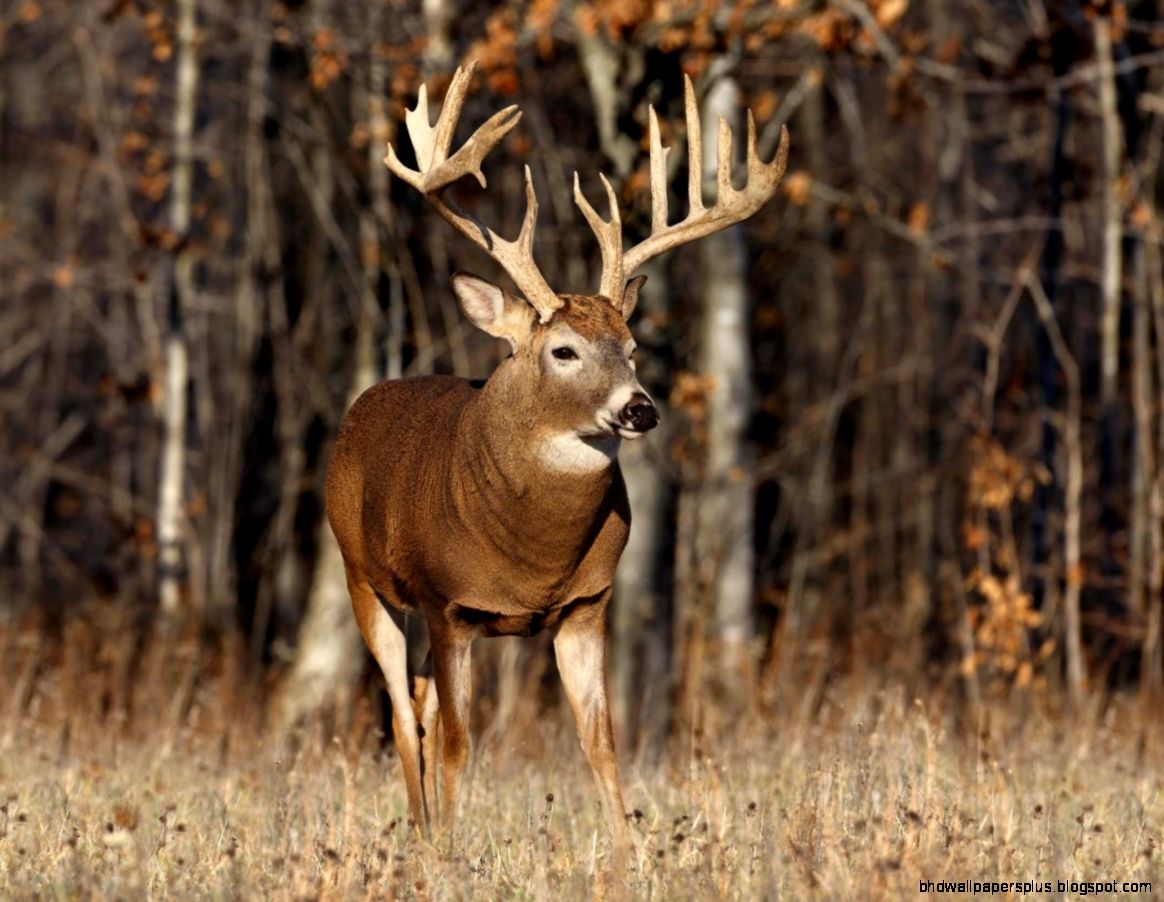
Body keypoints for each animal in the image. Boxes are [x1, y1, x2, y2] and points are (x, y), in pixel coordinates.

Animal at [325, 61, 789, 857]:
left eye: (630, 347)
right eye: (563, 351)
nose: (640, 409)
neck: (533, 556)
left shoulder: (586, 605)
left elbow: (601, 741)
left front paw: (630, 856)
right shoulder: (450, 604)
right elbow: (460, 743)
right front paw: (450, 855)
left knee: (415, 703)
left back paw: (425, 828)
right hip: (364, 578)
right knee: (402, 715)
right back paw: (421, 836)